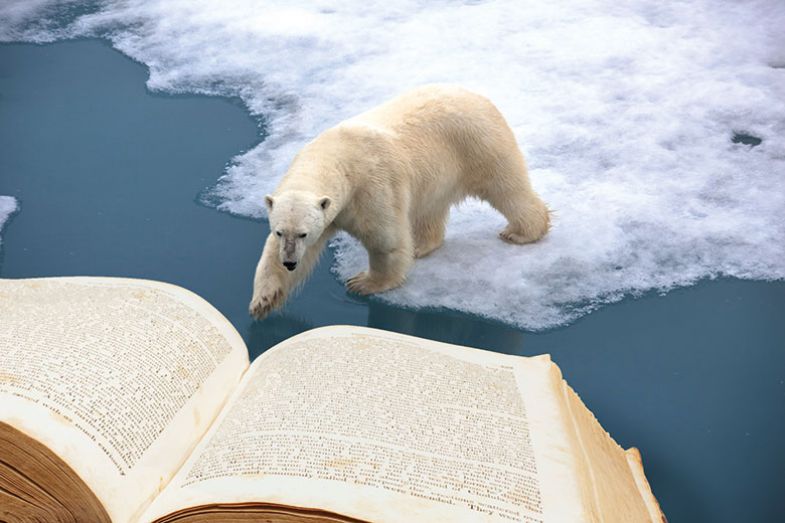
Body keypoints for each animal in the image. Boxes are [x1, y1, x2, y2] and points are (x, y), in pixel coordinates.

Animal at [249, 84, 549, 319]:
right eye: (281, 231)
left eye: (303, 233)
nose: (290, 262)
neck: (336, 158)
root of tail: (477, 95)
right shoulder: (329, 210)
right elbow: (273, 253)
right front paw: (263, 300)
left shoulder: (371, 187)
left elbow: (385, 239)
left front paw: (363, 282)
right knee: (430, 210)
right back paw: (420, 245)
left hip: (478, 144)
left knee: (507, 188)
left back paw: (521, 232)